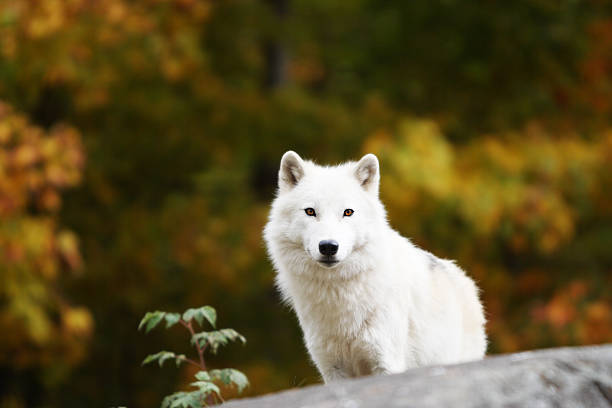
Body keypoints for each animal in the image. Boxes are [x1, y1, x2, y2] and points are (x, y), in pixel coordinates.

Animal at [264, 151, 488, 382]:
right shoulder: (333, 369)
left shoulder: (386, 361)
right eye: (310, 211)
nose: (328, 247)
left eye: (348, 212)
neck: (339, 298)